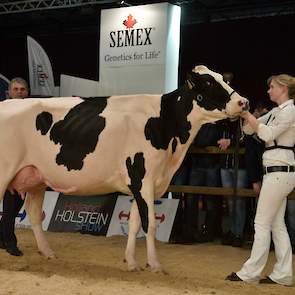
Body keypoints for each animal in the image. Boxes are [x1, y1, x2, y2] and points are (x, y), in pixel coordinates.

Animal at [0, 66, 247, 272]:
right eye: (208, 82)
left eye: (223, 79)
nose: (243, 102)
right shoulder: (142, 179)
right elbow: (150, 225)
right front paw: (155, 264)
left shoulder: (143, 184)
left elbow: (135, 223)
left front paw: (132, 262)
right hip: (5, 172)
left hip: (36, 178)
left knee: (34, 213)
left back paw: (48, 252)